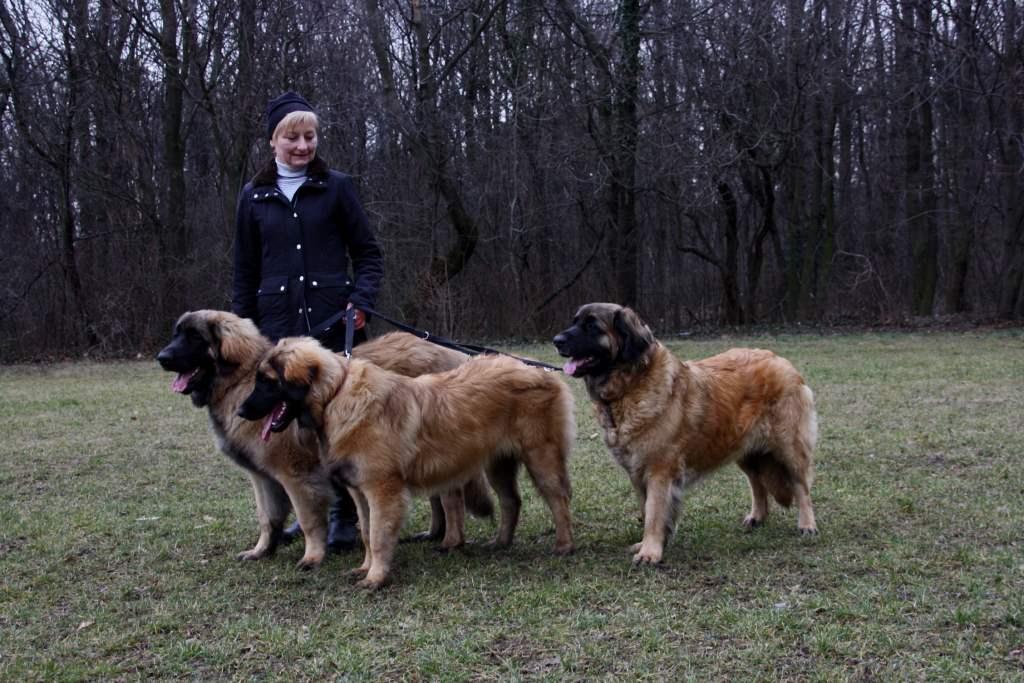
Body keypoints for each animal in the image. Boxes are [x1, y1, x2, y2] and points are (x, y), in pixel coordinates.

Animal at [237, 335, 577, 589]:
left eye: (267, 381)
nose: (240, 411)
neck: (337, 395)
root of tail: (539, 370)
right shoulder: (360, 491)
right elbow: (365, 531)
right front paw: (365, 569)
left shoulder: (382, 490)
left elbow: (377, 535)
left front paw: (375, 578)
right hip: (498, 463)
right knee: (511, 501)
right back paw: (501, 542)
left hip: (541, 457)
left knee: (558, 499)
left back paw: (564, 545)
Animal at [557, 305, 819, 565]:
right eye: (574, 321)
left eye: (592, 326)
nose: (557, 340)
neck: (630, 387)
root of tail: (781, 360)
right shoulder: (637, 472)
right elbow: (646, 509)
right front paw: (648, 544)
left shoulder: (659, 471)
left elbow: (653, 513)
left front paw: (650, 552)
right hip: (745, 450)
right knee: (757, 483)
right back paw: (757, 516)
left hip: (789, 447)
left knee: (801, 486)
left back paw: (807, 525)